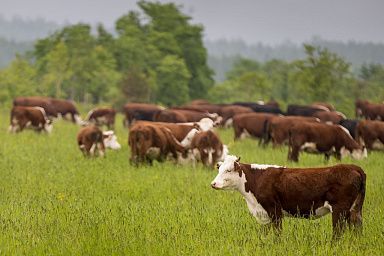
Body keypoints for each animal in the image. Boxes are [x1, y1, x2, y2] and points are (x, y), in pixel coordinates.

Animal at [213, 154, 366, 236]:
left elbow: (278, 233)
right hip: (354, 210)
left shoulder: (274, 210)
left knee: (337, 233)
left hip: (340, 210)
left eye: (228, 170)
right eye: (219, 169)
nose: (213, 184)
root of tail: (354, 167)